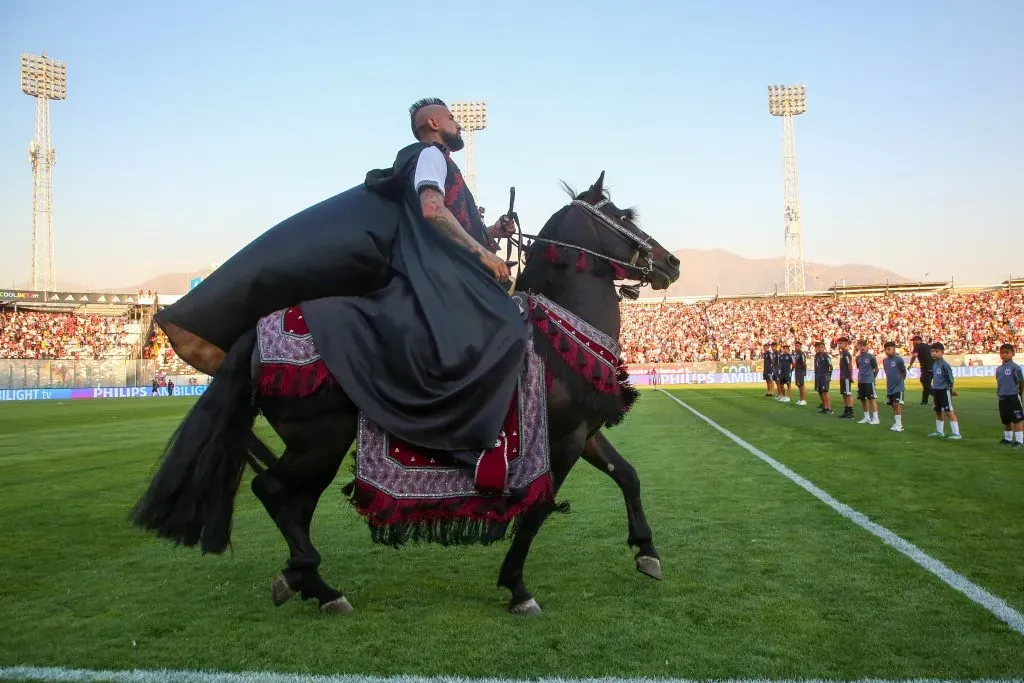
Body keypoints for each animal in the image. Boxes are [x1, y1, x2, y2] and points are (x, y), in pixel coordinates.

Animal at [132, 171, 684, 614]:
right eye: (621, 216)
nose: (670, 262)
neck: (559, 335)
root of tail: (251, 338)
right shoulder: (562, 440)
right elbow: (536, 513)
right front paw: (518, 588)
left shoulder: (583, 432)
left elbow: (627, 475)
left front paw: (647, 552)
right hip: (319, 443)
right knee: (273, 492)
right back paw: (318, 585)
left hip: (313, 449)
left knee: (293, 504)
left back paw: (303, 579)